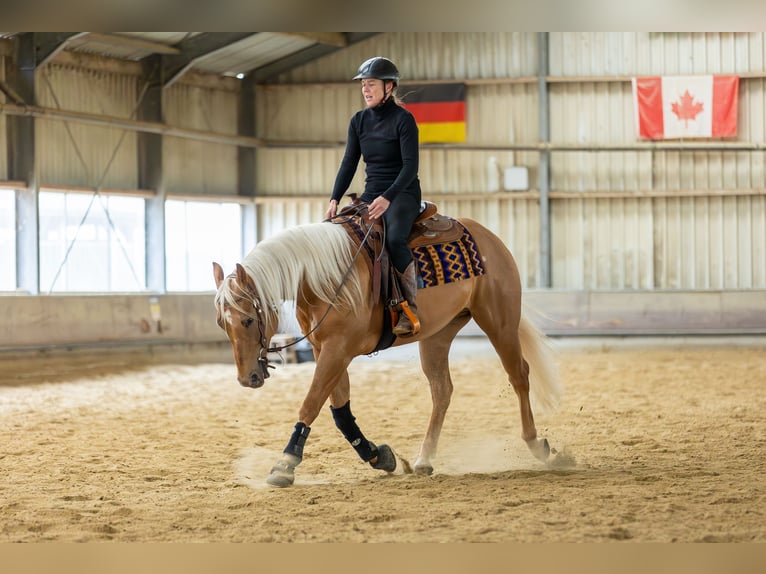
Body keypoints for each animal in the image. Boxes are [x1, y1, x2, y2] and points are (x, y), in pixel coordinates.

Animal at [213, 214, 560, 488]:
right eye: (221, 323)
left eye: (247, 319)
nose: (247, 378)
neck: (324, 277)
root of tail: (488, 237)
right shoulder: (326, 349)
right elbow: (340, 411)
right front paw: (379, 456)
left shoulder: (337, 350)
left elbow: (311, 403)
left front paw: (285, 463)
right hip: (438, 335)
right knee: (442, 390)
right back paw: (423, 459)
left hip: (499, 322)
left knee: (519, 376)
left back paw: (538, 446)